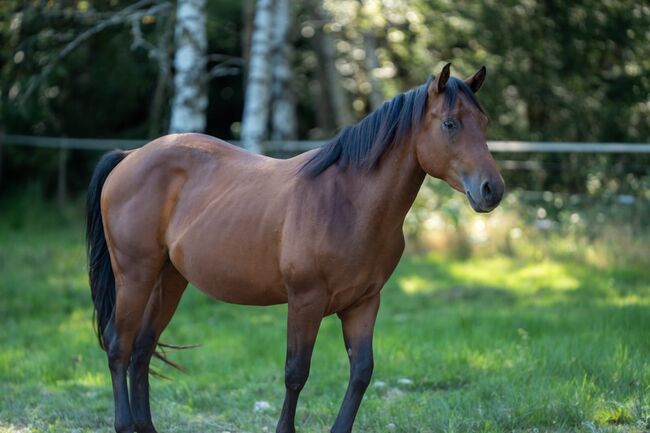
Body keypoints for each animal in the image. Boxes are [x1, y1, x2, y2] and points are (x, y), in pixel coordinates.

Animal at [86, 63, 502, 432]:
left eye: (483, 123)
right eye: (450, 124)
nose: (492, 190)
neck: (347, 201)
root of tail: (129, 157)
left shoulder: (364, 303)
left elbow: (361, 372)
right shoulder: (306, 300)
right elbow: (296, 373)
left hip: (169, 279)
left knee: (142, 349)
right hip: (135, 277)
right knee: (119, 346)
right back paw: (124, 424)